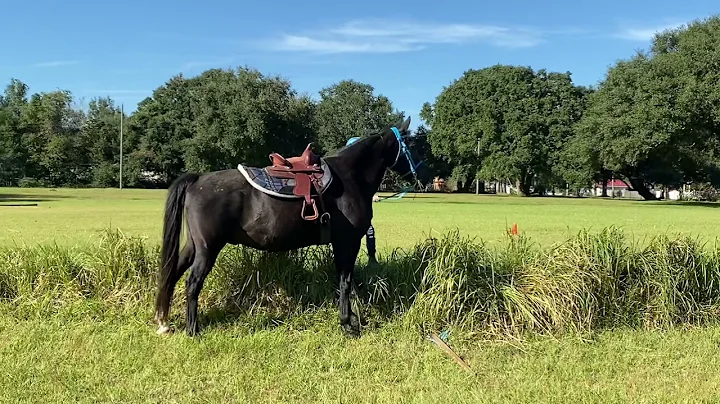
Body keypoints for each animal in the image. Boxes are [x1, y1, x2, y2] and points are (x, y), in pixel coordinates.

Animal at [154, 117, 430, 338]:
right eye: (412, 145)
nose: (427, 173)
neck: (350, 177)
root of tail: (197, 179)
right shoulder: (347, 241)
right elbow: (345, 281)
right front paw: (347, 324)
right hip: (207, 248)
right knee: (192, 283)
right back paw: (192, 329)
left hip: (193, 246)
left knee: (172, 274)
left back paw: (164, 321)